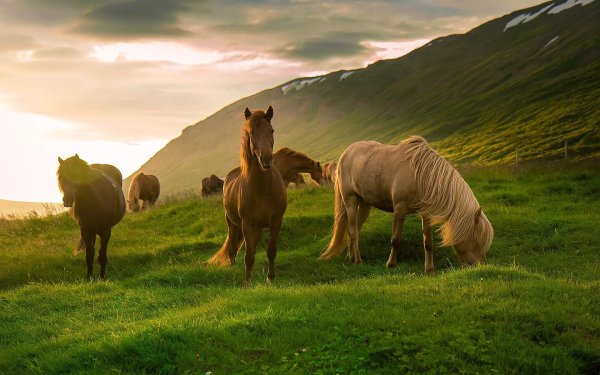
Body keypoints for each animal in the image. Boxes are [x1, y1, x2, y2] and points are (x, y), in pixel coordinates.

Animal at [207, 106, 288, 288]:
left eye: (271, 130)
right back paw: (233, 272)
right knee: (232, 250)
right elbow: (248, 256)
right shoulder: (247, 225)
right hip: (233, 225)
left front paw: (270, 279)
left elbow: (271, 251)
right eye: (251, 132)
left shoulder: (276, 221)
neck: (263, 189)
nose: (266, 159)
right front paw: (246, 283)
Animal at [322, 137, 494, 274]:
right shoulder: (399, 210)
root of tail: (346, 153)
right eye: (476, 240)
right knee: (352, 231)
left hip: (365, 204)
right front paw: (391, 264)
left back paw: (351, 257)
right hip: (350, 201)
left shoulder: (426, 215)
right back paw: (358, 261)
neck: (422, 176)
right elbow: (395, 239)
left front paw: (429, 269)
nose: (480, 265)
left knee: (355, 230)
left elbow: (428, 243)